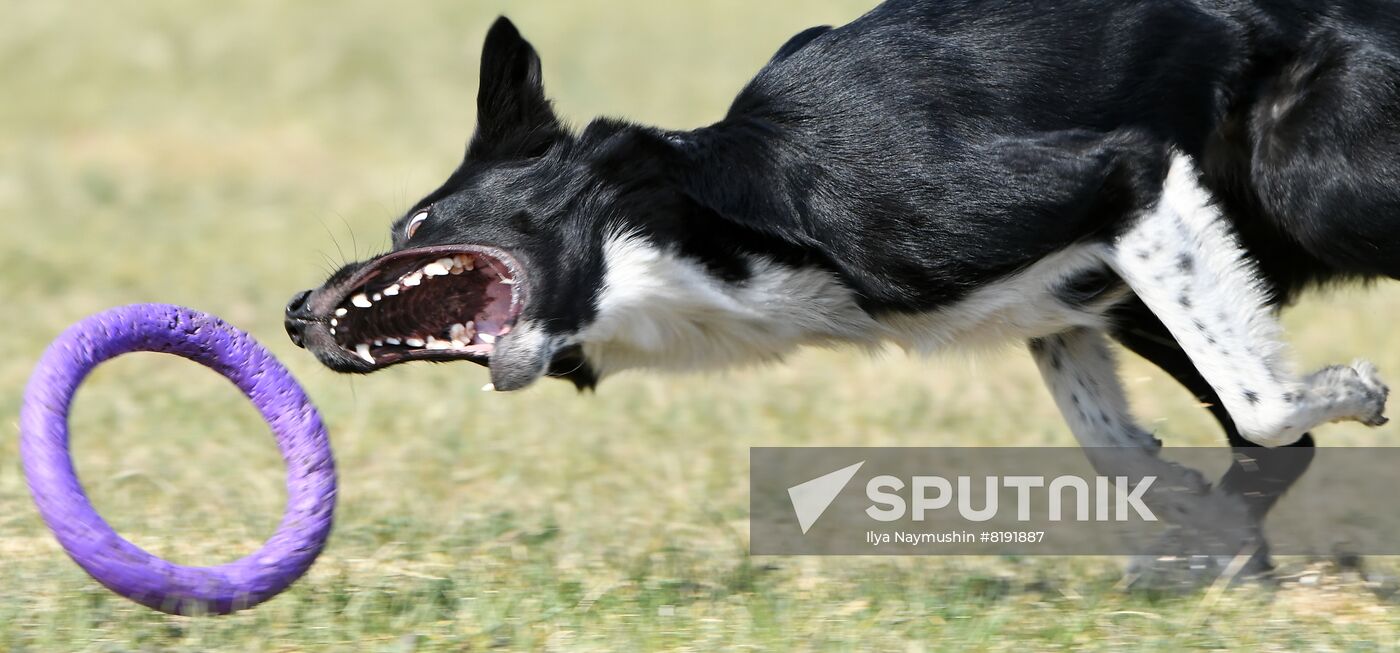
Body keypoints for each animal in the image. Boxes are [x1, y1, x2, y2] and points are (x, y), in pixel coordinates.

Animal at [287, 1, 1400, 566]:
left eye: (413, 227)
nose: (295, 312)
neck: (709, 210)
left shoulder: (1117, 175)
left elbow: (1262, 404)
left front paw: (1351, 390)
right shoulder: (1067, 296)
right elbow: (1139, 445)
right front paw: (1194, 533)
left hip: (1312, 179)